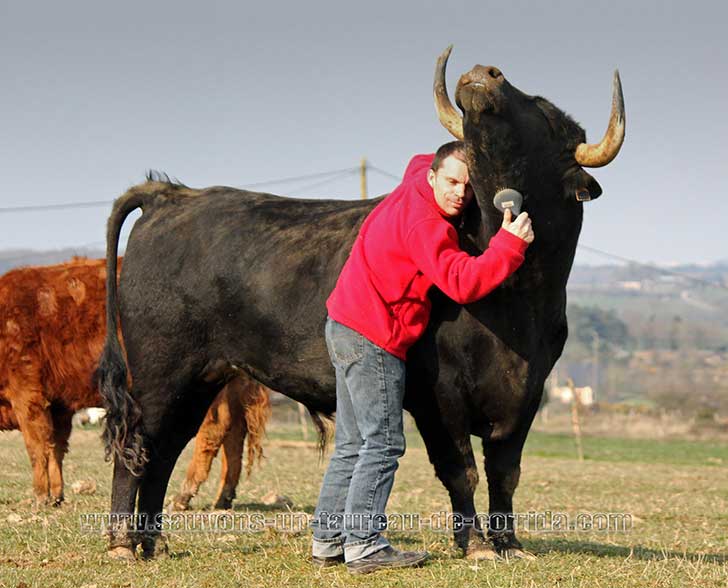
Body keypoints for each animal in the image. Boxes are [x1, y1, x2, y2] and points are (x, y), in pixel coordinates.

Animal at [0, 260, 270, 508]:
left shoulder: (28, 393)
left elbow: (37, 447)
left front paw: (40, 495)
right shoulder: (58, 405)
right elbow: (57, 446)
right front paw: (56, 494)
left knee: (214, 431)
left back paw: (184, 495)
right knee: (234, 435)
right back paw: (222, 498)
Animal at [98, 47, 624, 560]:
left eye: (546, 114)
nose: (482, 71)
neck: (516, 307)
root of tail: (173, 195)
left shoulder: (528, 393)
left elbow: (505, 473)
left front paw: (509, 543)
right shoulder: (439, 397)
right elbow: (462, 470)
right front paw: (475, 545)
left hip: (200, 377)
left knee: (164, 451)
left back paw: (154, 542)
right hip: (160, 372)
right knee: (139, 447)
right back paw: (124, 543)